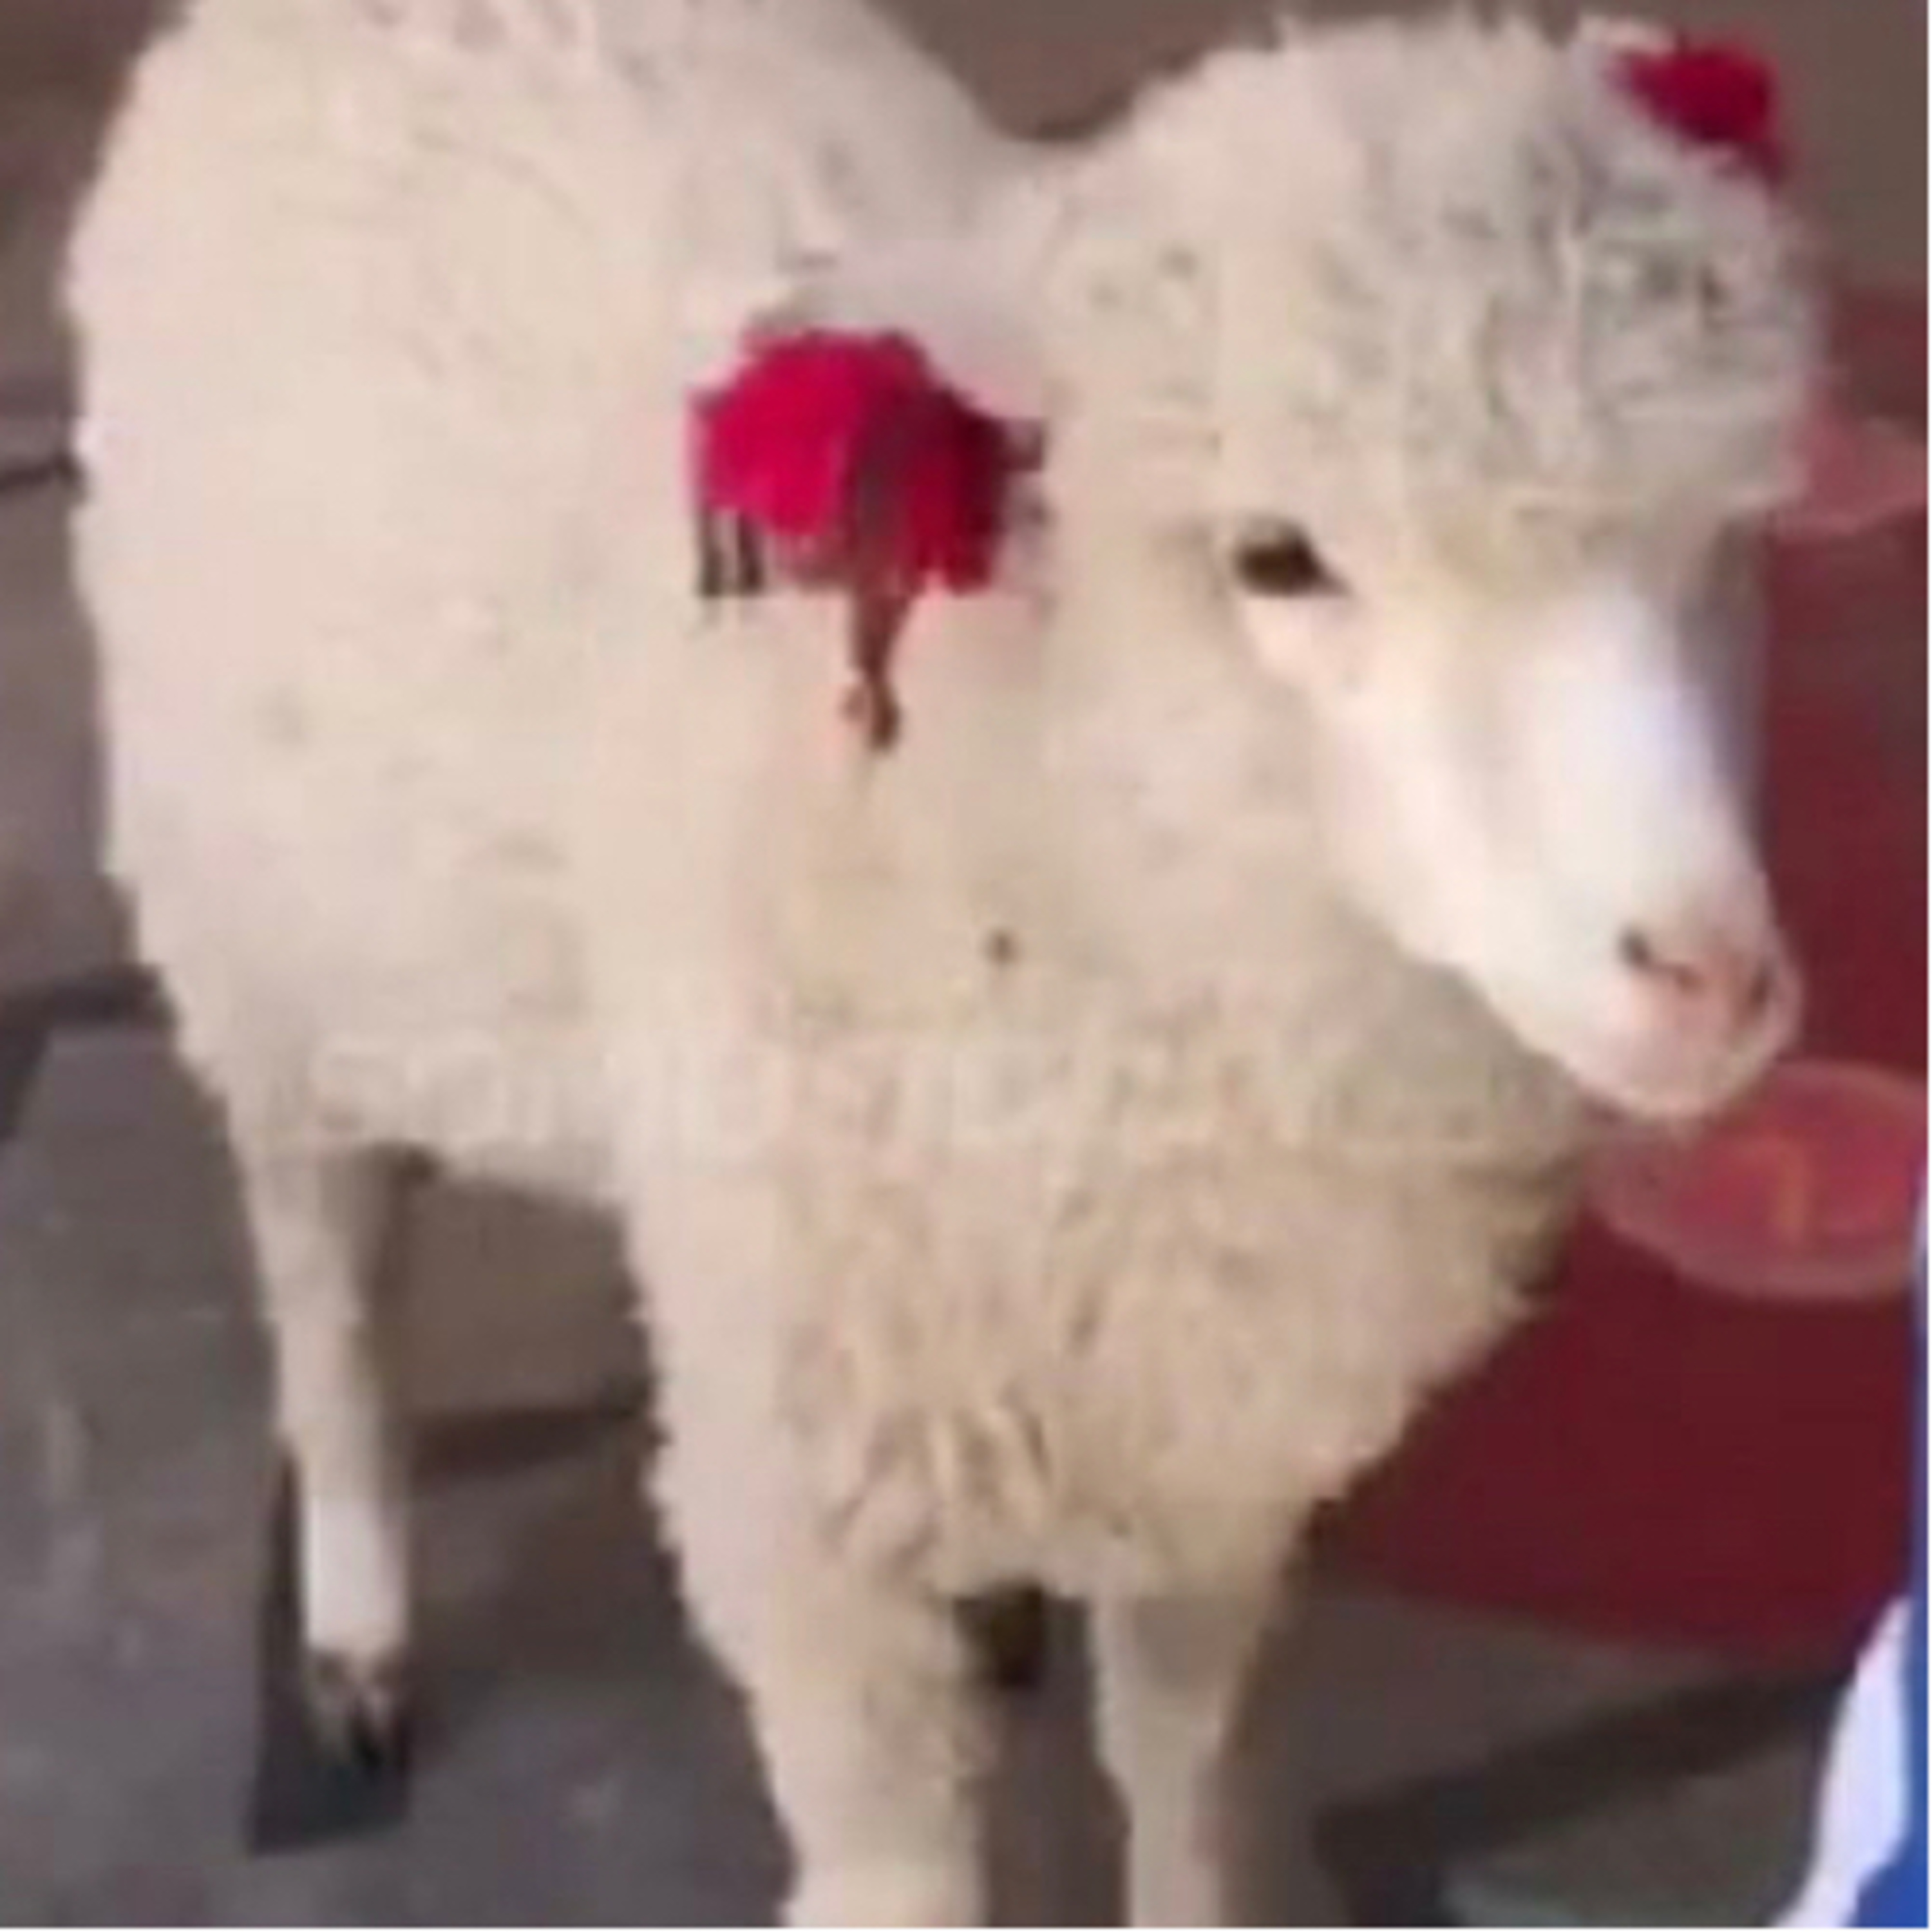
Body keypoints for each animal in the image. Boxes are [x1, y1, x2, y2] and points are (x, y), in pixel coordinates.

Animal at [68, 1, 1816, 1921]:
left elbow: (1186, 1785)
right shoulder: (808, 1529)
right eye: (1275, 556)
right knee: (328, 1271)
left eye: (1727, 538)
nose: (1709, 978)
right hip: (257, 928)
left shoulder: (1200, 1443)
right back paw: (355, 1613)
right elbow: (896, 1866)